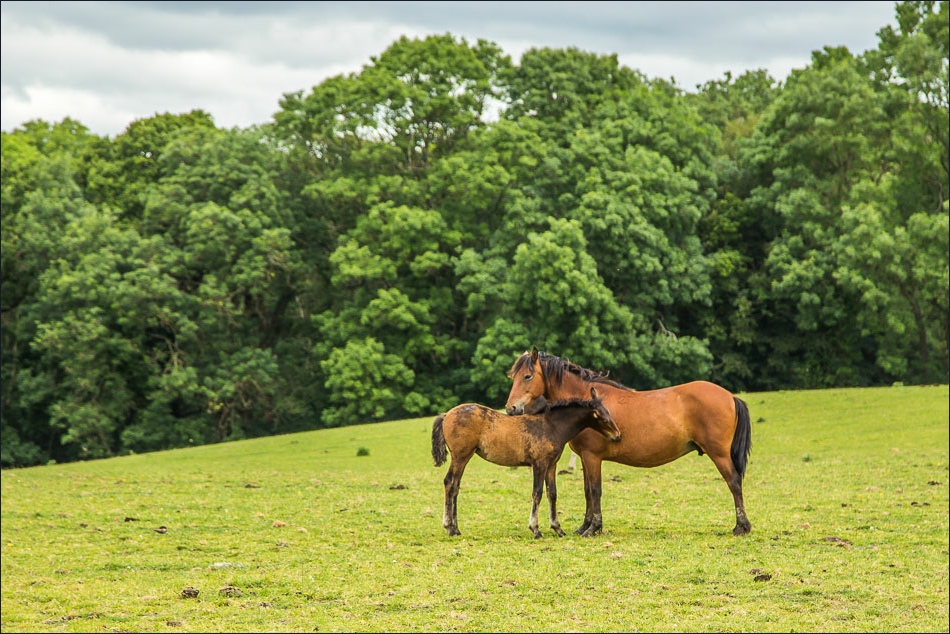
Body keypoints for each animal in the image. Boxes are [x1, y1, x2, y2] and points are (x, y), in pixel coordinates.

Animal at [506, 348, 752, 536]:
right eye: (513, 376)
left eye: (527, 376)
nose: (511, 409)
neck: (589, 403)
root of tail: (730, 396)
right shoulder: (585, 458)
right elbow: (587, 491)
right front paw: (585, 526)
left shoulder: (593, 457)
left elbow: (595, 490)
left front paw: (593, 528)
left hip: (719, 454)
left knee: (733, 482)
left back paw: (741, 527)